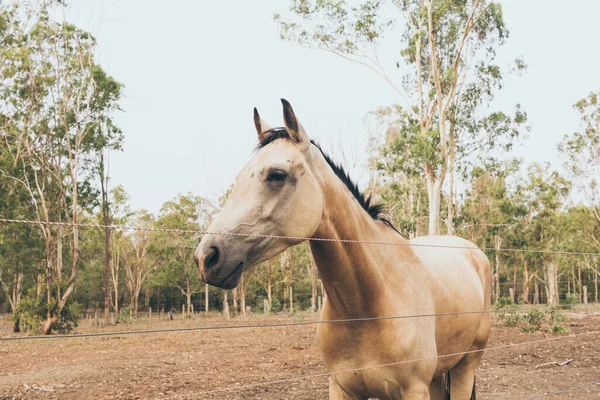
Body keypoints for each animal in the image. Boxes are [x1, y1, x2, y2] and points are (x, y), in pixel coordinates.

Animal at [195, 98, 490, 398]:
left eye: (277, 175)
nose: (206, 256)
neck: (370, 304)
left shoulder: (413, 390)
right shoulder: (342, 387)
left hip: (466, 365)